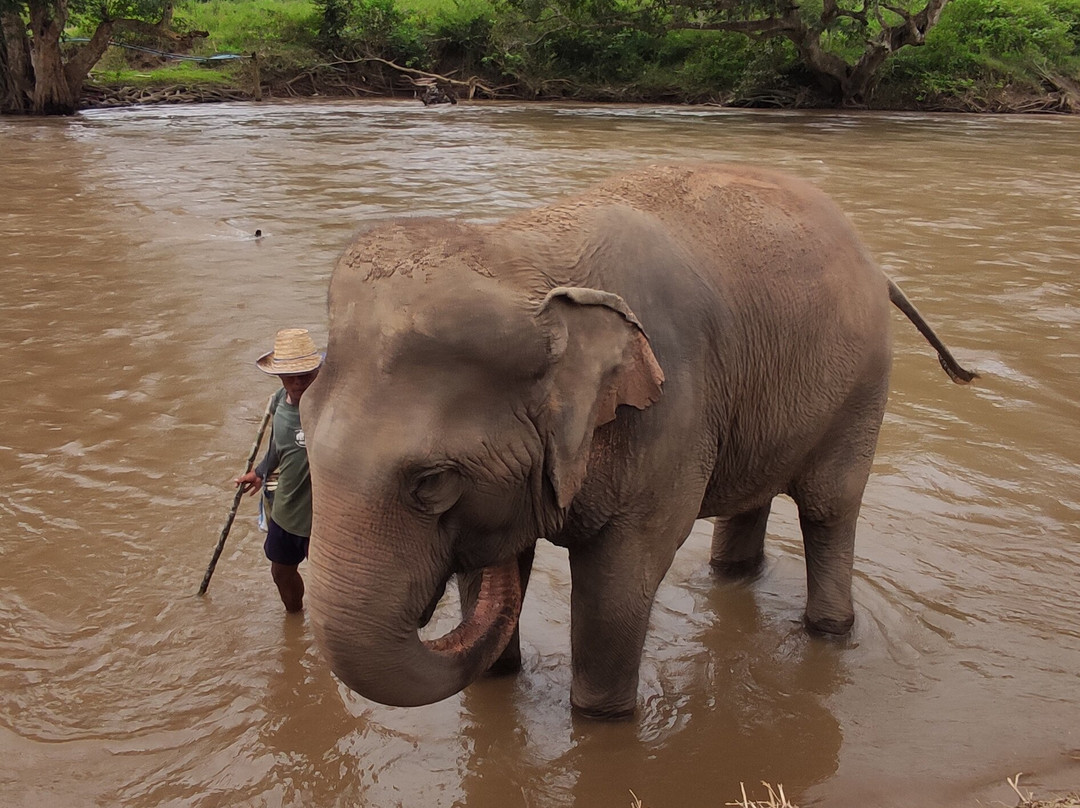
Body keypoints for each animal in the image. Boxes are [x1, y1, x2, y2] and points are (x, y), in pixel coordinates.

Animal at [301, 162, 976, 719]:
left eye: (432, 482)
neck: (522, 260)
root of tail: (877, 267)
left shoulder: (671, 410)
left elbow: (619, 583)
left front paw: (601, 718)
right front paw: (499, 677)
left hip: (862, 384)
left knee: (830, 506)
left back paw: (829, 630)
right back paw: (731, 577)